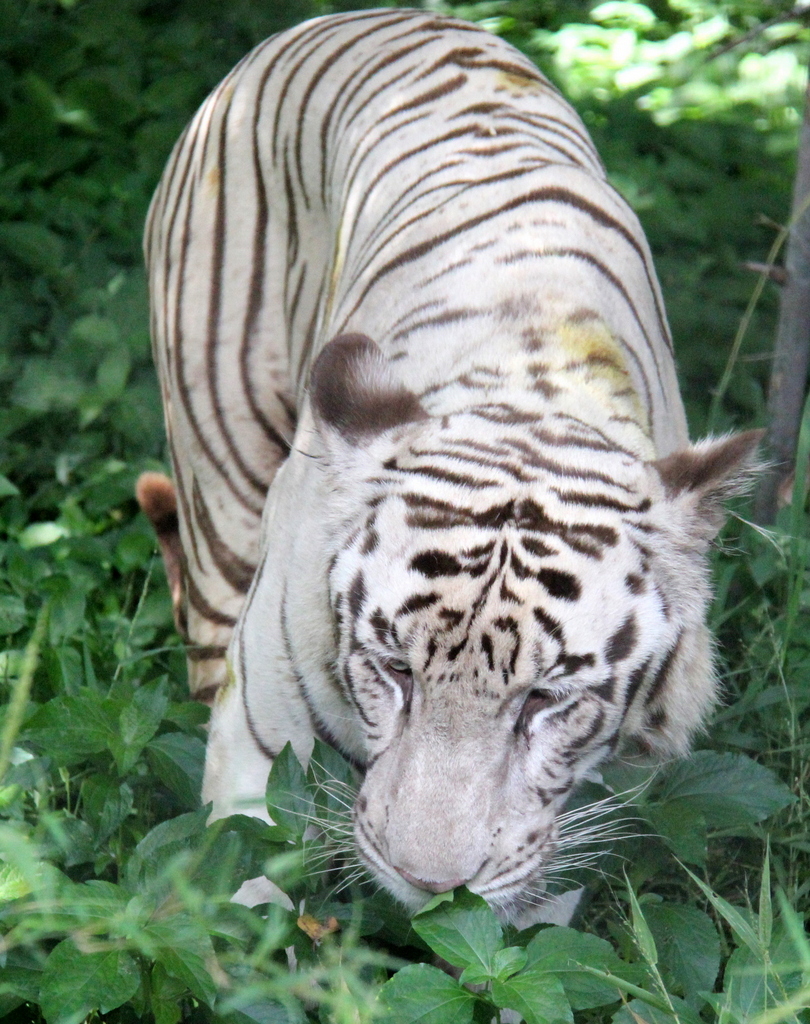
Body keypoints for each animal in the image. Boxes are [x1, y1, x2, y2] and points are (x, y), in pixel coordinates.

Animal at [139, 6, 761, 921]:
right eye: (396, 670)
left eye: (544, 700)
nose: (430, 881)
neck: (534, 391)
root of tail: (360, 15)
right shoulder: (261, 724)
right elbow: (244, 888)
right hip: (222, 472)